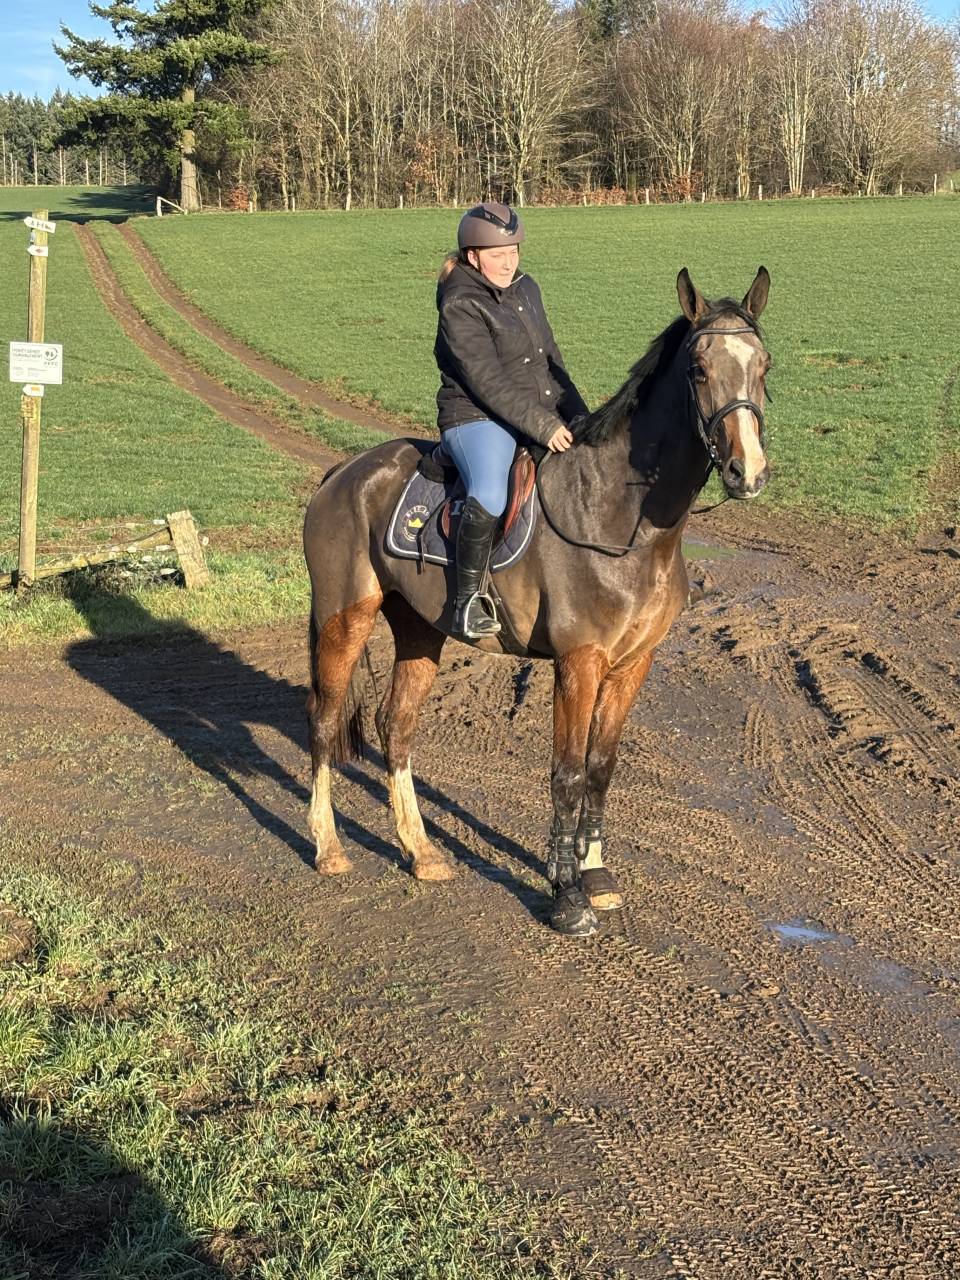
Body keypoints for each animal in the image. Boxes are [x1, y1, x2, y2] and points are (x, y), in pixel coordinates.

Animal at [302, 267, 772, 937]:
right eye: (699, 370)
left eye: (764, 364)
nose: (746, 472)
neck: (618, 518)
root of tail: (343, 473)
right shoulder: (580, 664)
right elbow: (567, 772)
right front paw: (566, 893)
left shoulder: (633, 665)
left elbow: (601, 766)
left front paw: (597, 877)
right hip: (345, 618)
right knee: (321, 722)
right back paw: (328, 847)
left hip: (420, 630)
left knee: (398, 729)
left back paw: (421, 853)